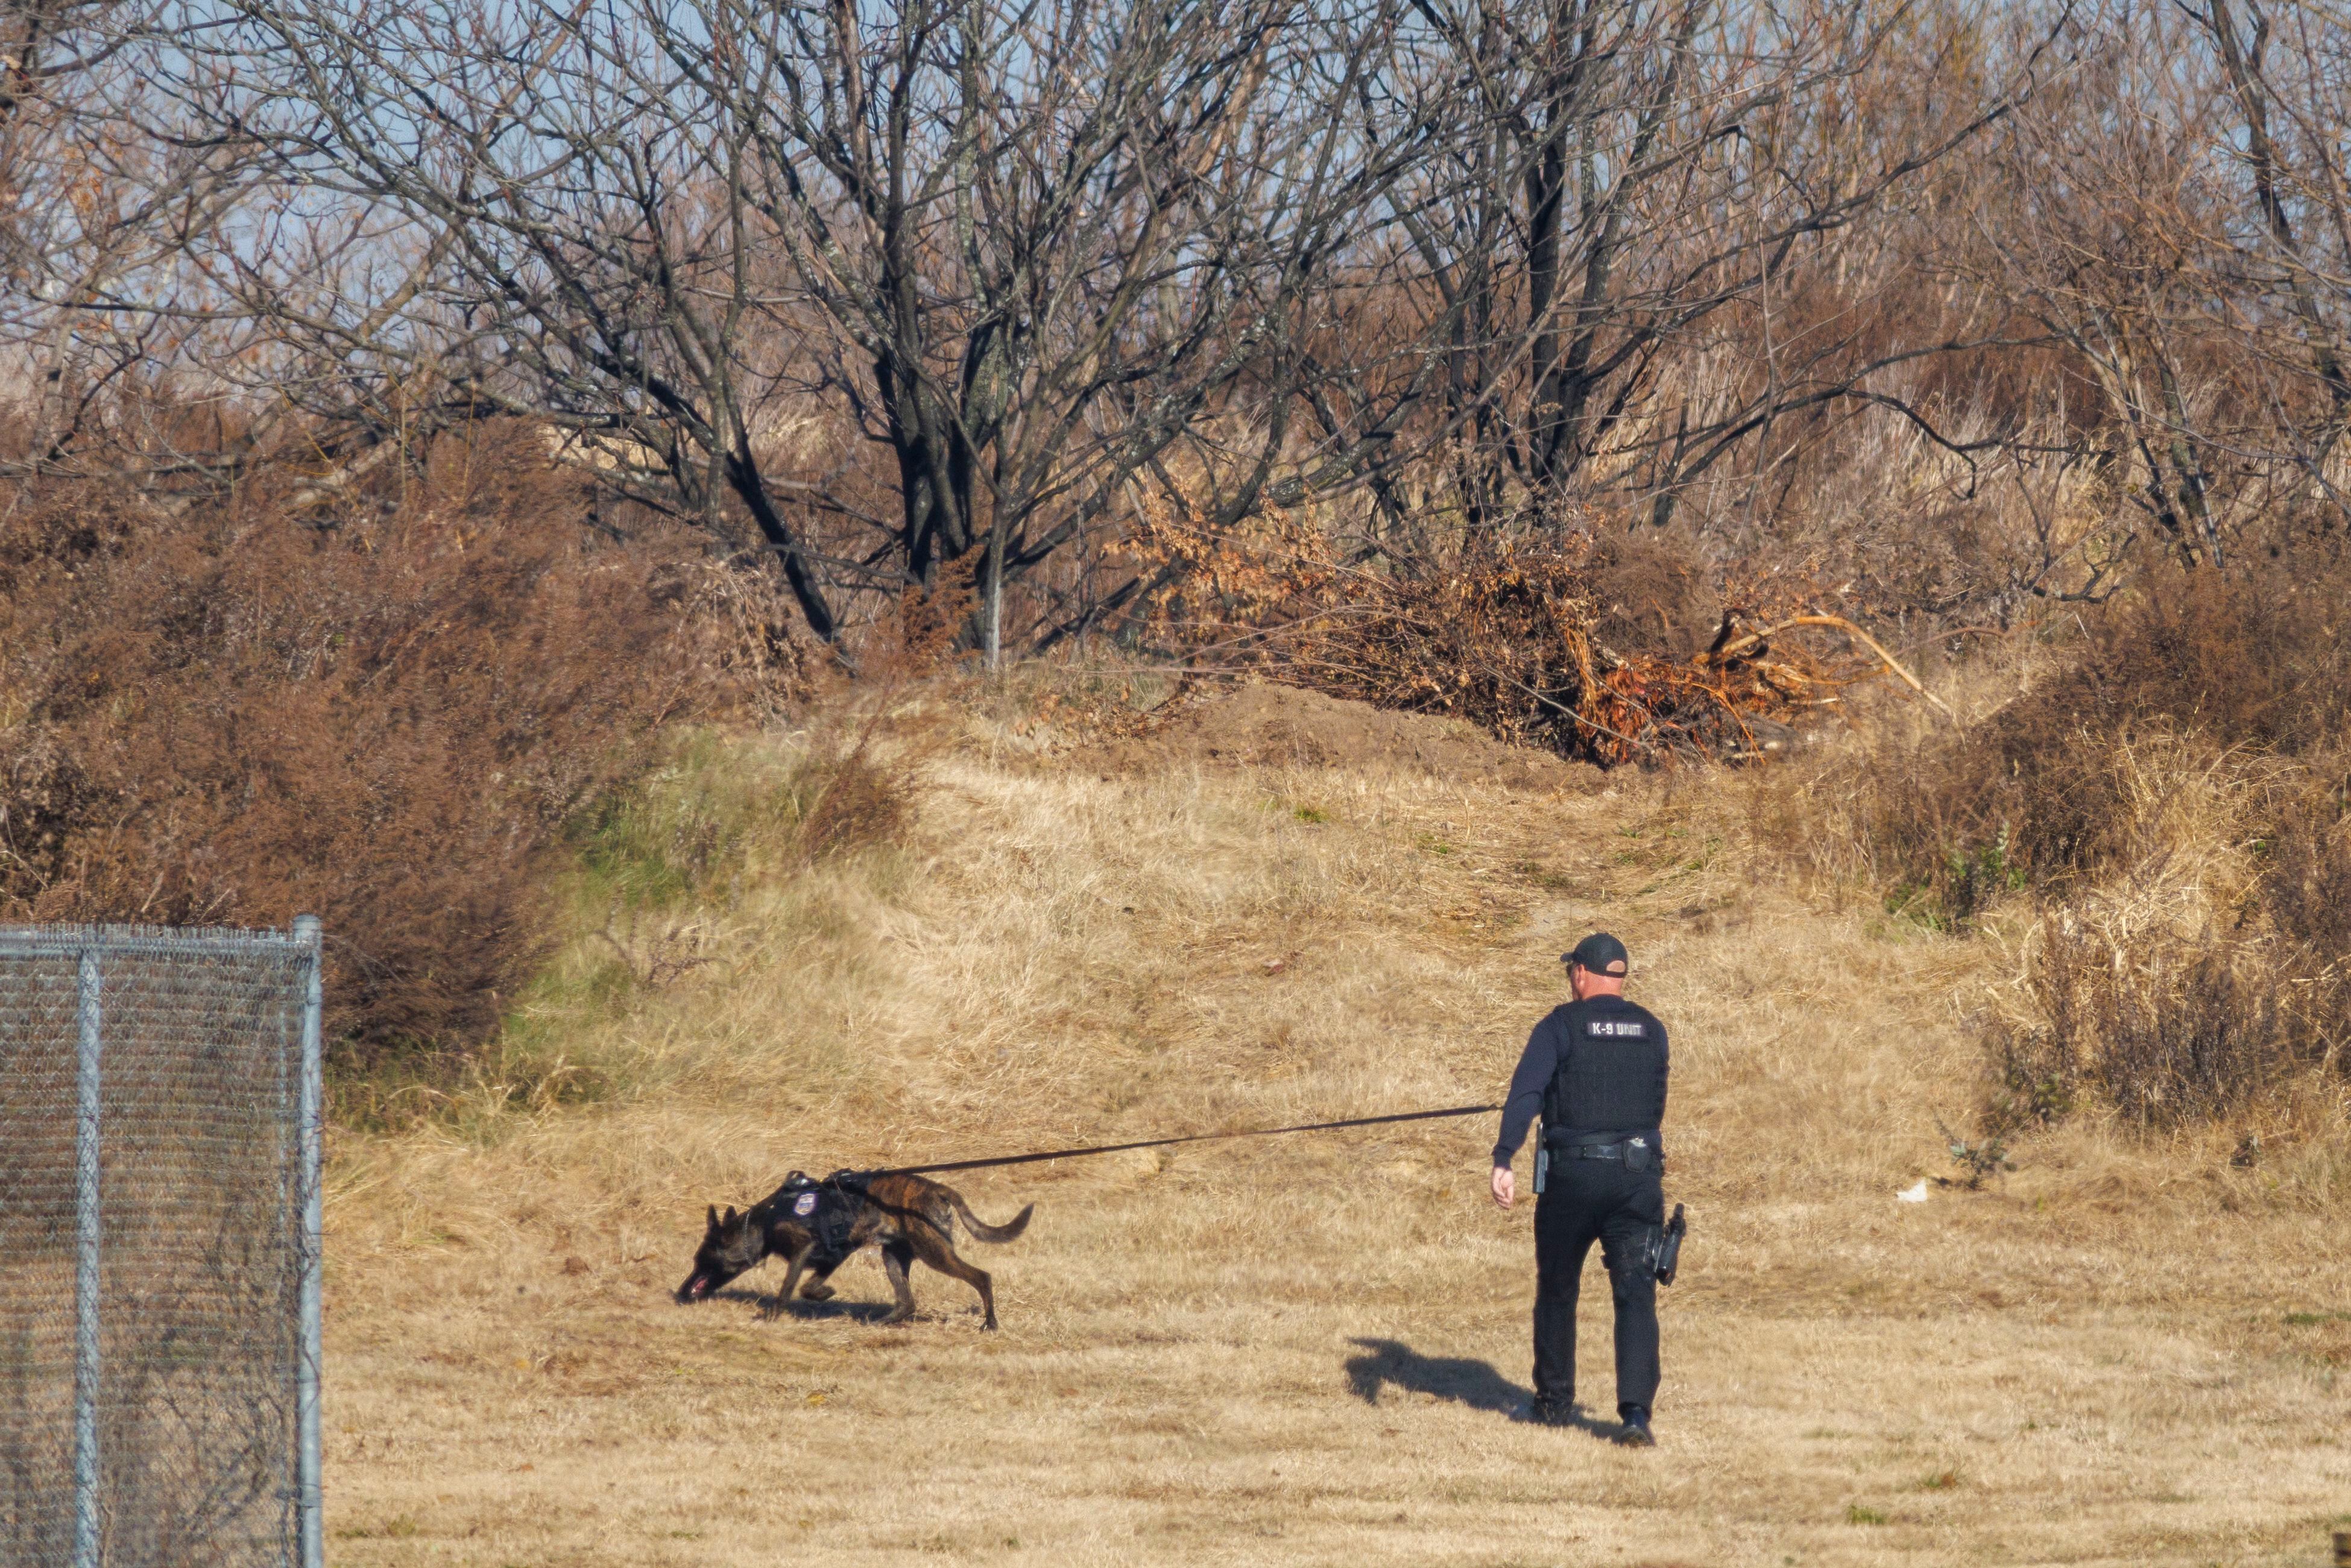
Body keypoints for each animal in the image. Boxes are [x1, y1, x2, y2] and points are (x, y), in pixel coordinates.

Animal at [667, 1170, 1024, 1335]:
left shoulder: (806, 1249)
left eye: (700, 1261)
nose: (681, 1292)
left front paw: (773, 1316)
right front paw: (824, 1293)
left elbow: (788, 1288)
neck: (763, 1223)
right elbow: (809, 1286)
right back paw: (879, 1323)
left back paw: (990, 1322)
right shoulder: (834, 1255)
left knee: (982, 1277)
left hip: (934, 1252)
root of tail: (937, 1189)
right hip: (894, 1257)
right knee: (906, 1302)